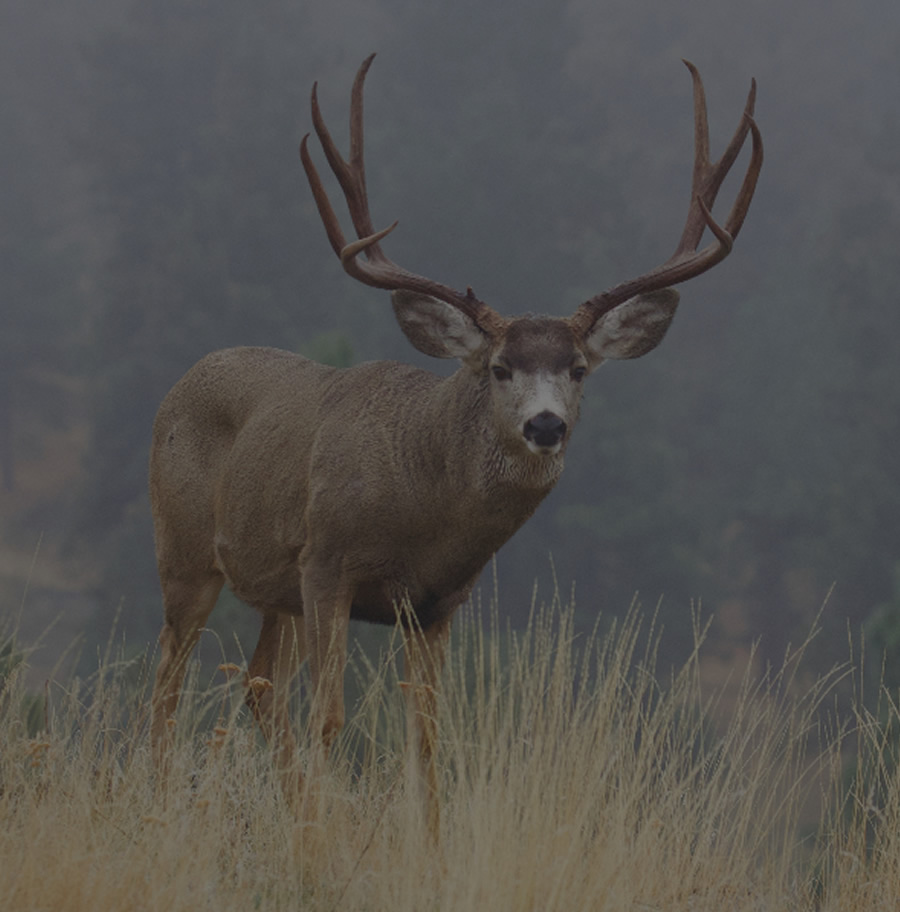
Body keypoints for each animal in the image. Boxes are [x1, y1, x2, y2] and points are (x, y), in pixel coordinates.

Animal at [148, 50, 760, 832]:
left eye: (578, 368)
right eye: (498, 367)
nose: (545, 424)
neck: (420, 510)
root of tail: (181, 381)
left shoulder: (438, 603)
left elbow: (428, 738)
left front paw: (423, 842)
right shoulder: (325, 562)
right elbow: (330, 717)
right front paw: (322, 841)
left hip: (269, 588)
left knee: (257, 685)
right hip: (187, 551)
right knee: (167, 679)